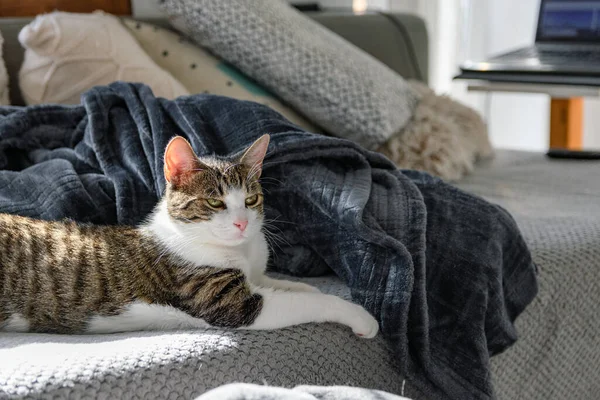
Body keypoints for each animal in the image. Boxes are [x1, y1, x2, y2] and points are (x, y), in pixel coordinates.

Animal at [0, 135, 380, 338]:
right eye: (215, 202)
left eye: (251, 200)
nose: (242, 223)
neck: (243, 250)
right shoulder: (229, 301)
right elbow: (308, 302)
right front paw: (359, 316)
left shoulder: (255, 275)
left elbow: (285, 284)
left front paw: (303, 285)